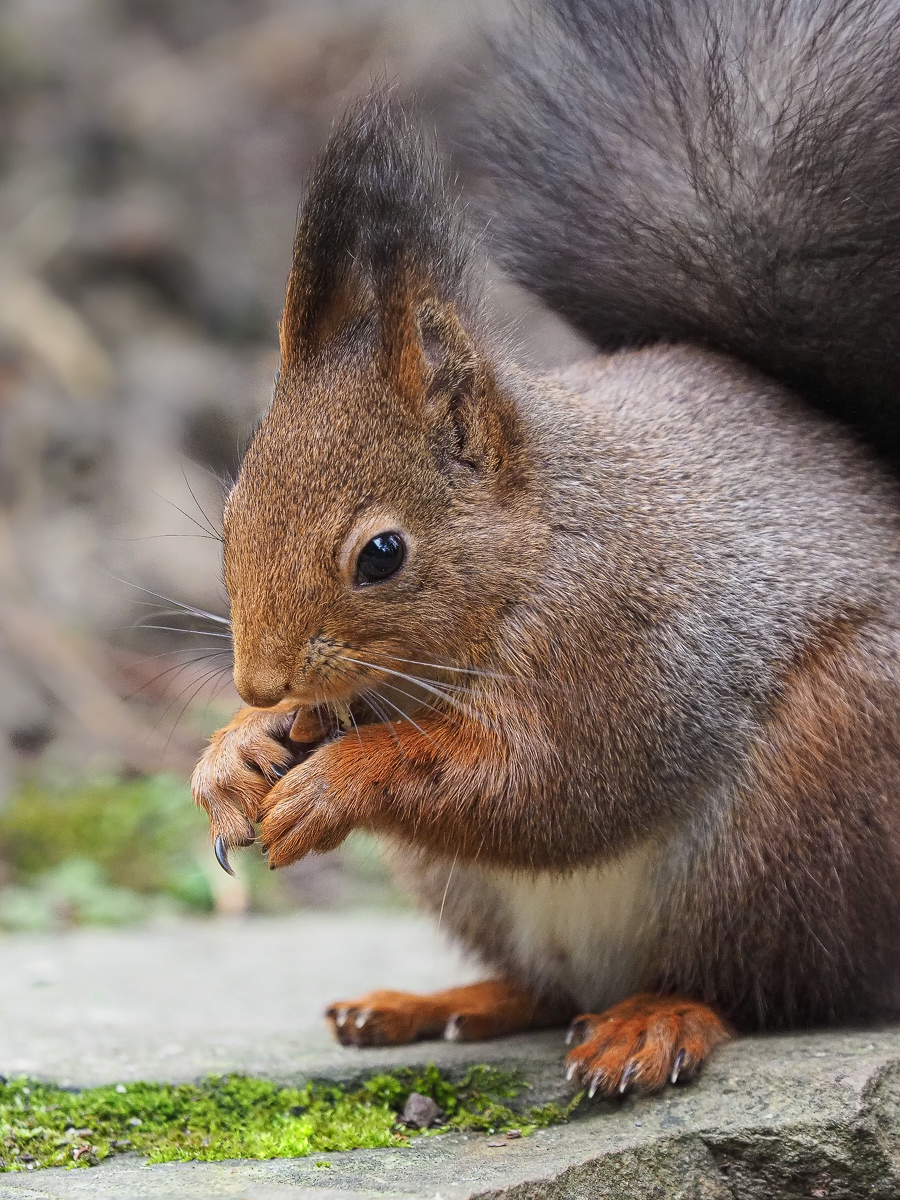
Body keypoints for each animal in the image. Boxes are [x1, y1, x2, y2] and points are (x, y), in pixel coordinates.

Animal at [190, 0, 900, 1099]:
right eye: (231, 514)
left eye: (382, 554)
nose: (260, 683)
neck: (533, 551)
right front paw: (233, 754)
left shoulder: (624, 644)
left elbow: (552, 789)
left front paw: (336, 779)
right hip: (471, 892)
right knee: (545, 986)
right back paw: (432, 1004)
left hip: (809, 806)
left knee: (758, 983)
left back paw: (653, 1022)